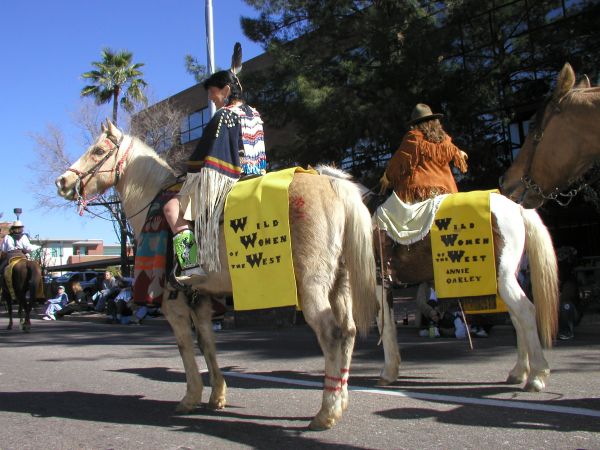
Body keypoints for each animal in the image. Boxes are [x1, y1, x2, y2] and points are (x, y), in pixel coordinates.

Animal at [54, 118, 378, 428]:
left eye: (98, 150)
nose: (63, 181)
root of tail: (331, 183)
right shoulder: (200, 299)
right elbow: (207, 343)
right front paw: (217, 395)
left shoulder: (173, 302)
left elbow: (185, 347)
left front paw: (190, 397)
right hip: (340, 284)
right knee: (348, 332)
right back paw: (340, 399)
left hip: (312, 285)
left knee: (332, 334)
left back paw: (326, 413)